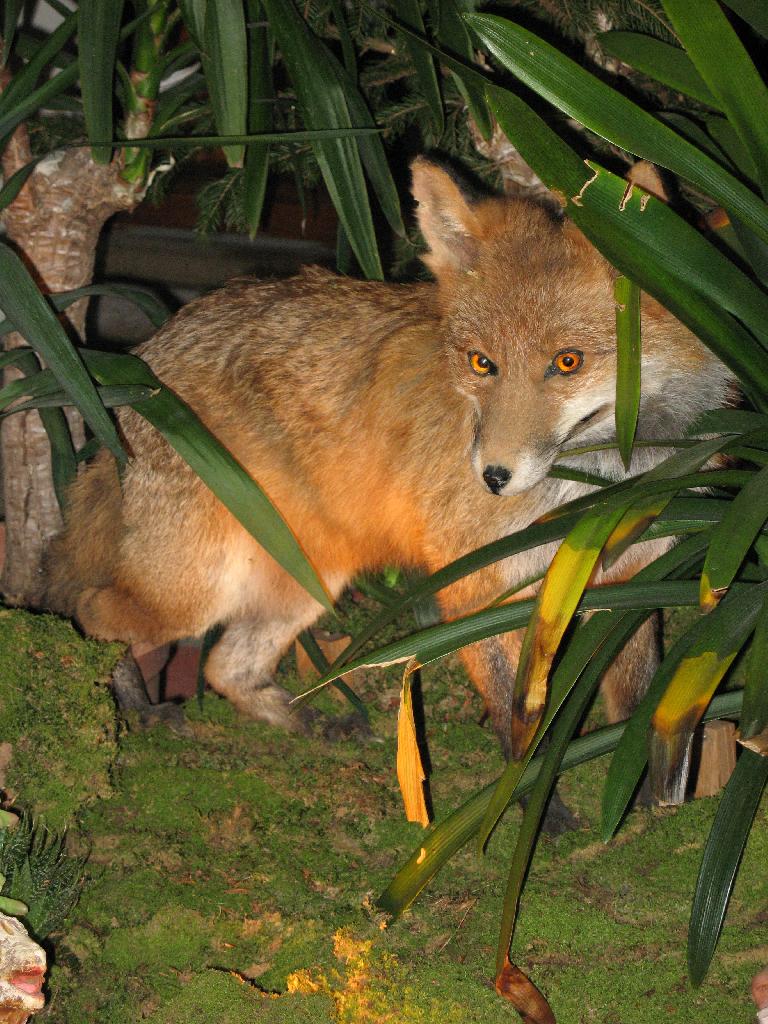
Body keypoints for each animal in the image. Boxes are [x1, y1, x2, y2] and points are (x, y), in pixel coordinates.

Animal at [45, 158, 733, 756]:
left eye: (568, 362)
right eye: (481, 363)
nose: (492, 477)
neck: (594, 490)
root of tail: (140, 365)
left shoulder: (632, 576)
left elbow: (640, 695)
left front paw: (654, 794)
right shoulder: (470, 575)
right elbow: (512, 712)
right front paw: (527, 798)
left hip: (308, 581)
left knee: (224, 666)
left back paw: (303, 723)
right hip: (193, 593)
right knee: (89, 613)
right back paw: (127, 700)